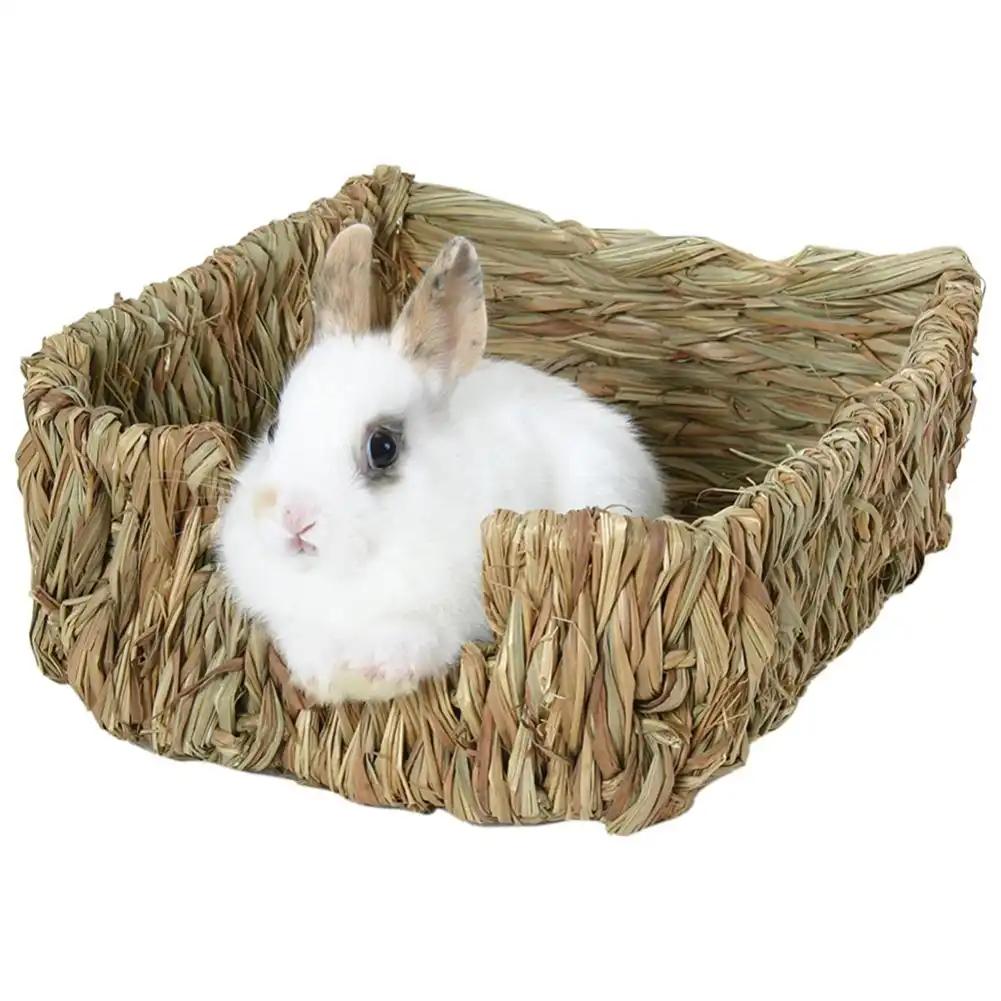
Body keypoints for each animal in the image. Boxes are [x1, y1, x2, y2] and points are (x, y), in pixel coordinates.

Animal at [216, 222, 666, 705]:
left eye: (382, 447)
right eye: (274, 429)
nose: (293, 518)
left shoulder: (444, 619)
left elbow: (417, 641)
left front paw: (374, 677)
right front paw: (326, 683)